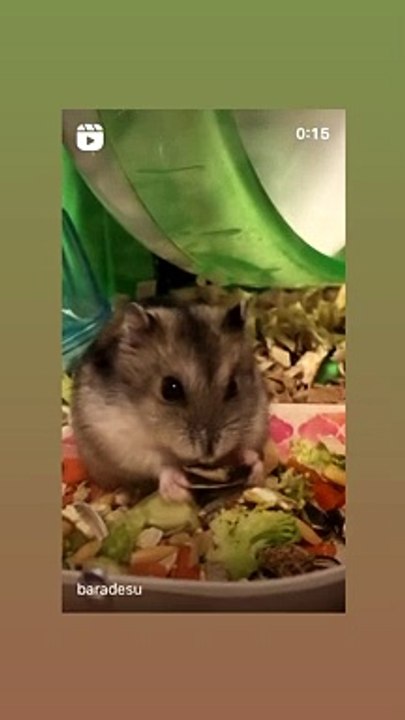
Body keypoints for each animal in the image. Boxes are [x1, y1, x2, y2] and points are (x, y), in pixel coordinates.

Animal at [70, 298, 269, 503]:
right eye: (170, 389)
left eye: (233, 386)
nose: (208, 454)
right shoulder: (119, 438)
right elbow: (160, 464)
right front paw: (179, 492)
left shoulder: (256, 422)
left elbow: (245, 449)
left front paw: (255, 468)